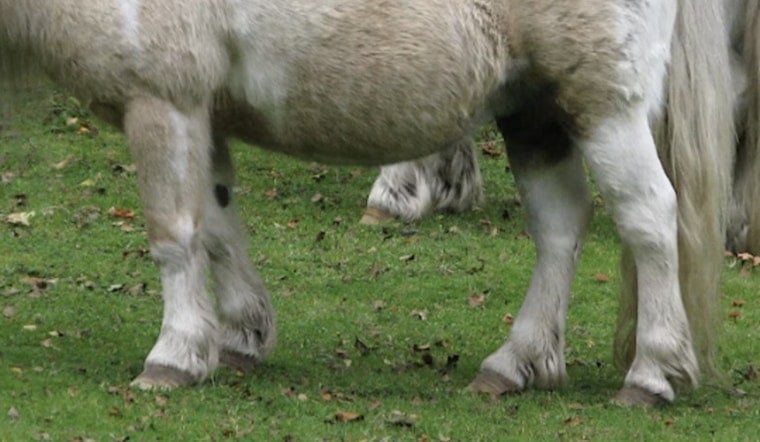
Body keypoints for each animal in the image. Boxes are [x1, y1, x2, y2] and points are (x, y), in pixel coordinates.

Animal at [0, 0, 735, 406]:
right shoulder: (203, 115)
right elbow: (218, 229)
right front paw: (239, 339)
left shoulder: (163, 102)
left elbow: (175, 236)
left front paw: (174, 357)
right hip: (533, 113)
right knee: (559, 225)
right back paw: (514, 365)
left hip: (602, 107)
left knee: (649, 220)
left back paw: (651, 374)